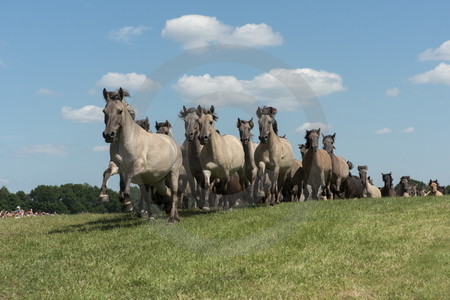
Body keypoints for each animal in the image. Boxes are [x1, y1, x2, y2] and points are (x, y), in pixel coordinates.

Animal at [102, 87, 183, 223]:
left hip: (173, 173)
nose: (108, 135)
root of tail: (173, 143)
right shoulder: (117, 166)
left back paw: (172, 219)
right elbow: (107, 173)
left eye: (120, 111)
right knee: (168, 193)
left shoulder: (139, 166)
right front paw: (104, 196)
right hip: (158, 182)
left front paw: (126, 199)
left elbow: (129, 176)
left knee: (175, 193)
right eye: (104, 111)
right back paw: (175, 215)